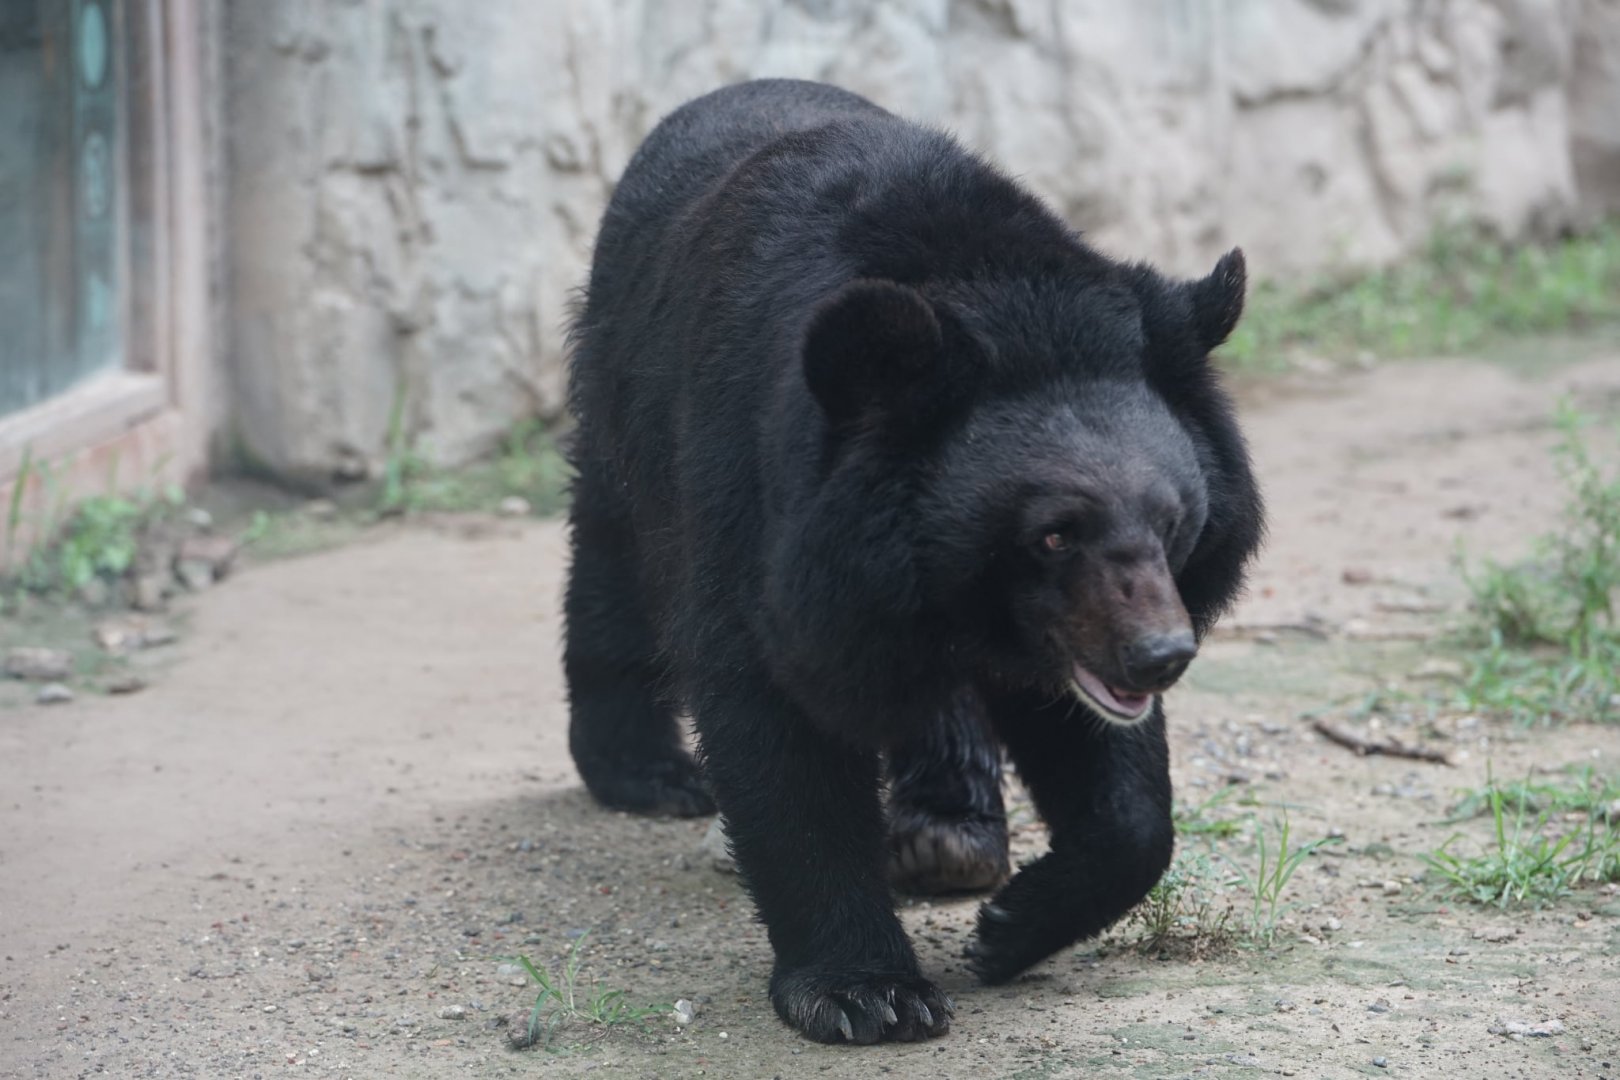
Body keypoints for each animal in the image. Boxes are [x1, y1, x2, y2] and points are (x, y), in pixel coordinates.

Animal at [563, 79, 1263, 1045]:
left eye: (1172, 521)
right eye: (1054, 532)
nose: (1161, 657)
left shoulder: (1060, 630)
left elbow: (1116, 786)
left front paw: (1009, 928)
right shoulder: (756, 493)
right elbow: (778, 717)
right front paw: (866, 994)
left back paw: (948, 839)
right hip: (625, 403)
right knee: (615, 568)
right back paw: (649, 773)